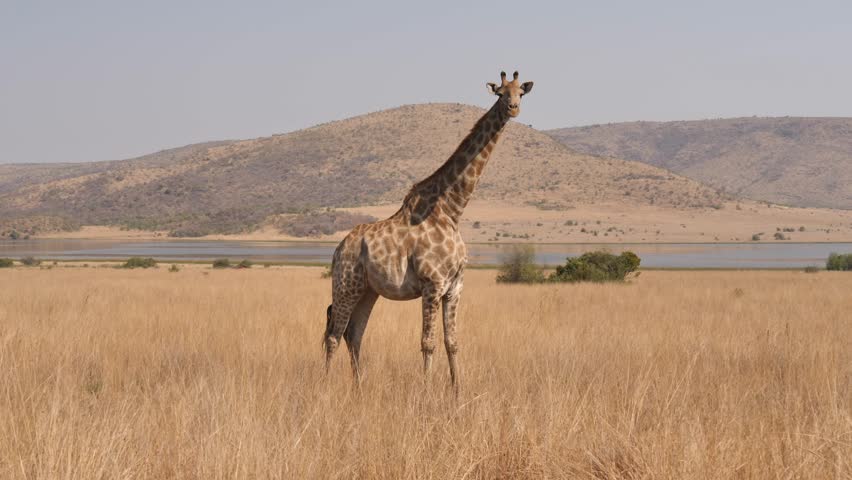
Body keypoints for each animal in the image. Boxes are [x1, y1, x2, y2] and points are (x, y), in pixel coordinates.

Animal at [323, 70, 534, 395]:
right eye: (500, 93)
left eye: (520, 93)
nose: (513, 108)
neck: (451, 210)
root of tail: (338, 249)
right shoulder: (432, 284)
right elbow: (428, 343)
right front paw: (425, 392)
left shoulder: (455, 287)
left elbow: (452, 342)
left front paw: (457, 391)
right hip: (346, 284)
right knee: (335, 333)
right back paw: (324, 388)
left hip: (368, 290)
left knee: (354, 334)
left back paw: (359, 388)